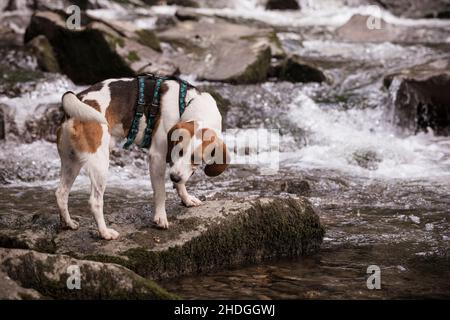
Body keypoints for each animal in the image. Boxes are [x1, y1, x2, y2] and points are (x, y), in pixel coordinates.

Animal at [55, 76, 229, 239]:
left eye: (196, 159)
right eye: (178, 151)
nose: (173, 177)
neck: (187, 103)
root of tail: (78, 99)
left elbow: (181, 183)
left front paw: (186, 198)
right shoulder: (157, 157)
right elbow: (161, 192)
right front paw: (160, 217)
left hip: (72, 162)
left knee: (61, 193)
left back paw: (68, 223)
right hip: (100, 164)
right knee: (95, 202)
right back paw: (104, 233)